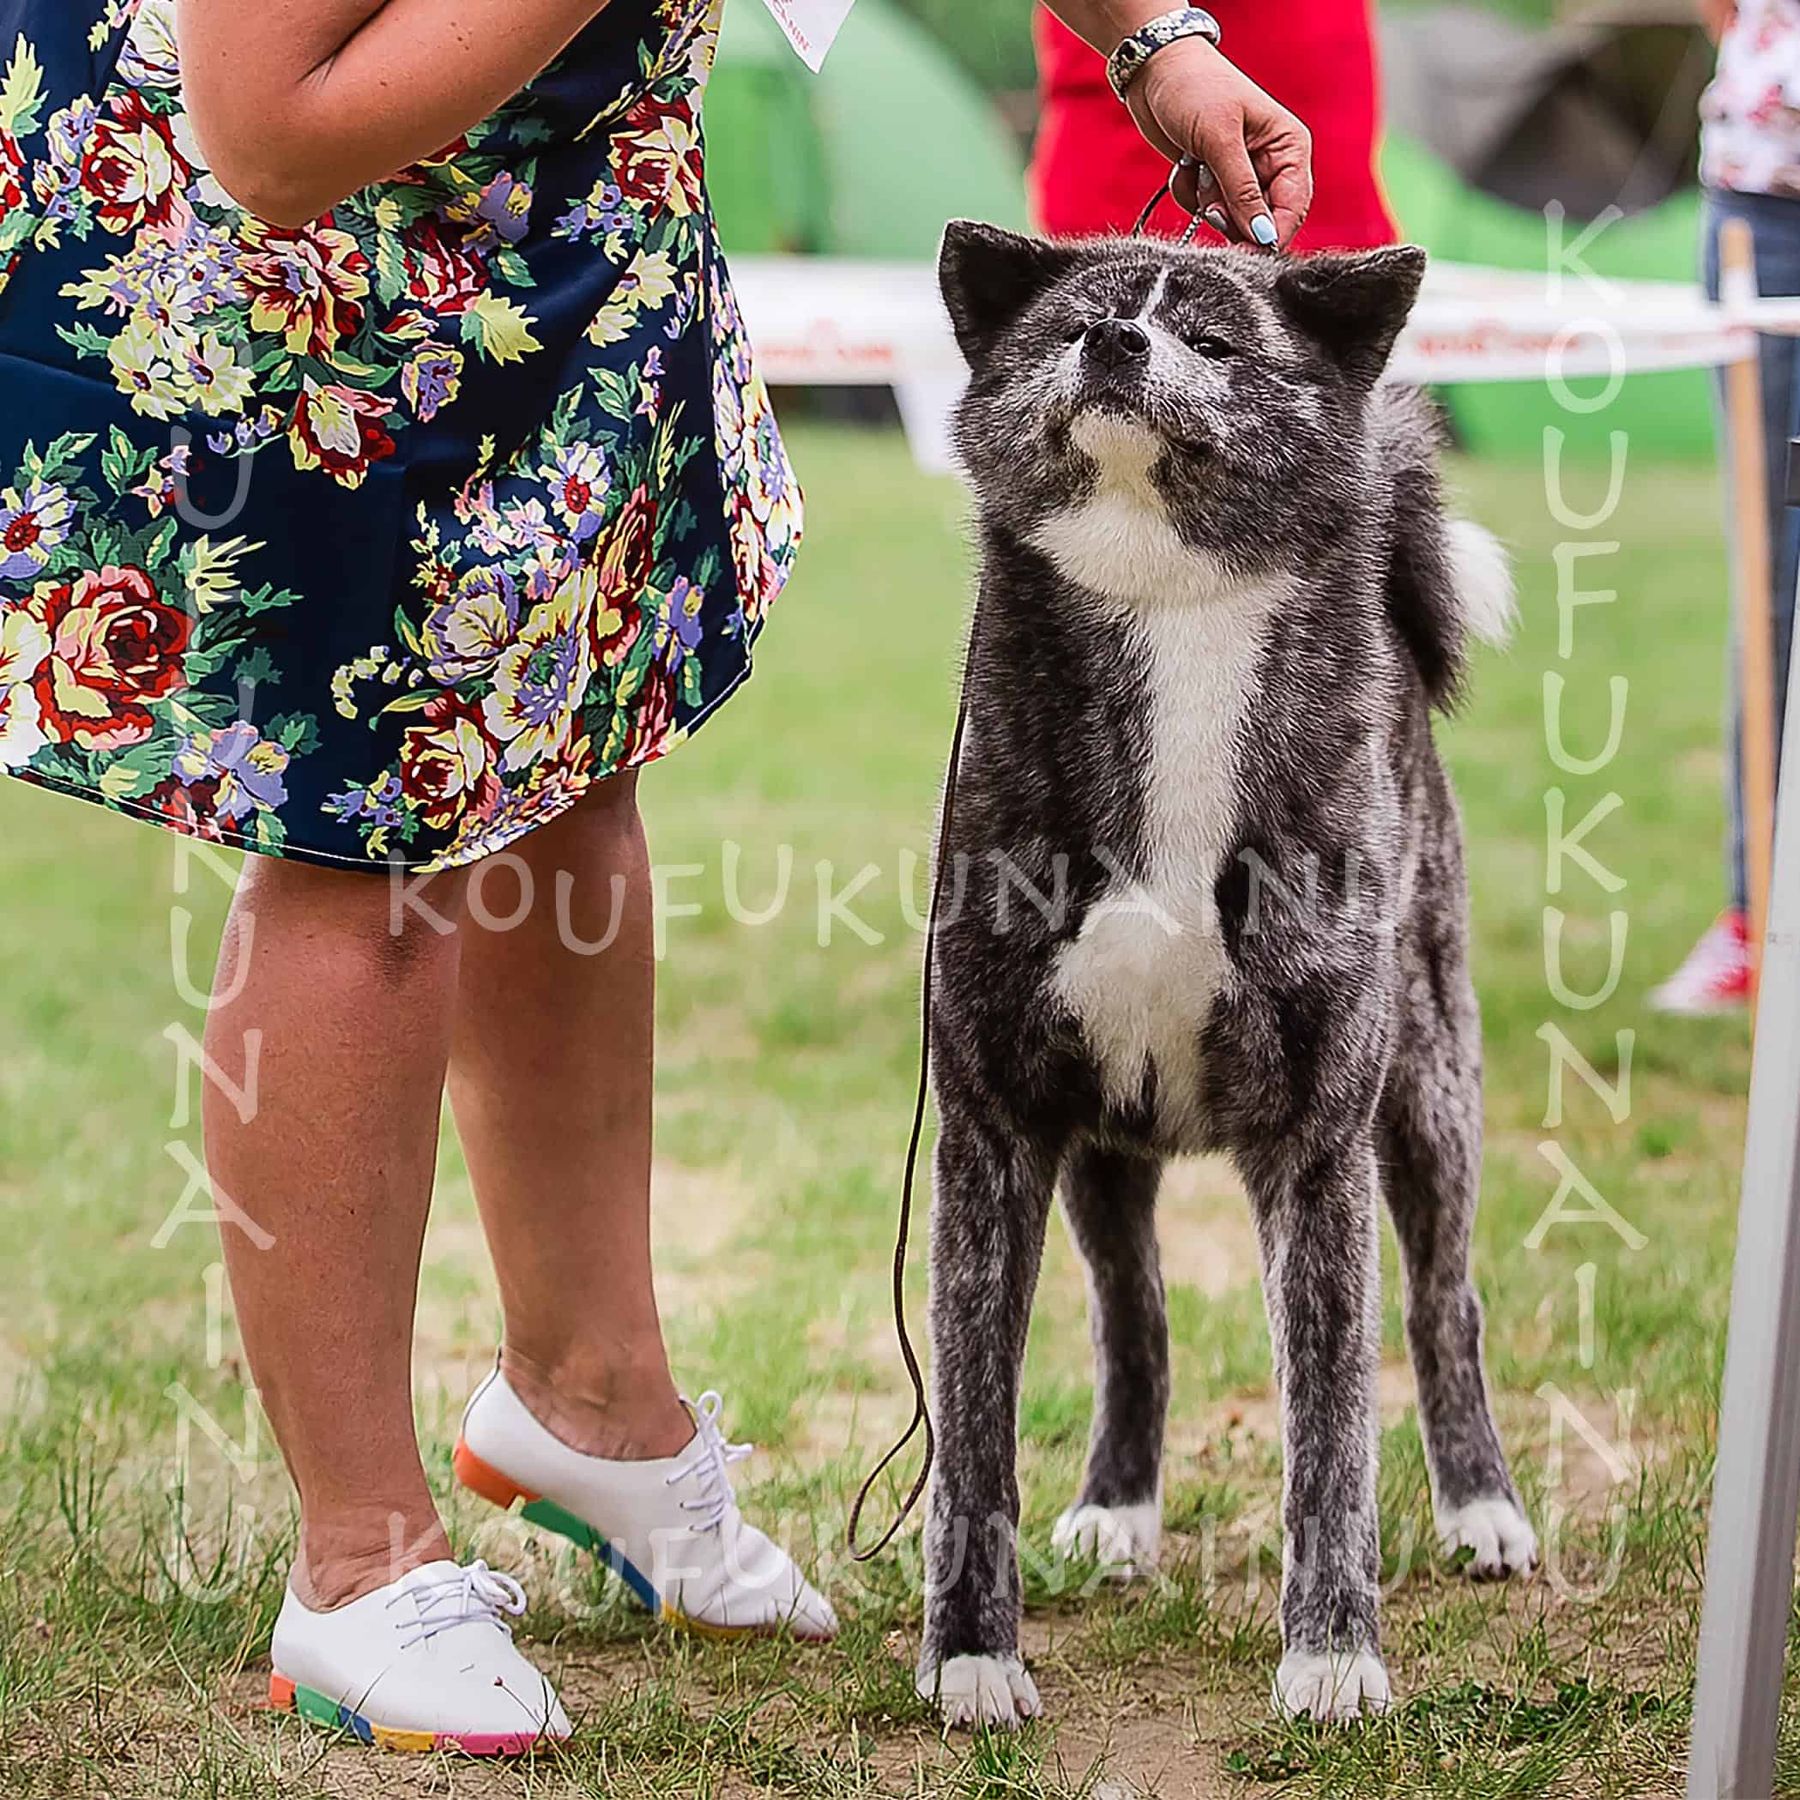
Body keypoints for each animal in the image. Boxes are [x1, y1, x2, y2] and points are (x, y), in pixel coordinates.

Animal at [914, 225, 1533, 1728]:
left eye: (1211, 339)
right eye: (1072, 322)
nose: (1114, 345)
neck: (1170, 612)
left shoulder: (1318, 1148)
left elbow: (1332, 1433)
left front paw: (1332, 1655)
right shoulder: (996, 1130)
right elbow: (974, 1426)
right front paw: (972, 1654)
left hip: (1429, 1097)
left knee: (1443, 1304)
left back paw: (1483, 1507)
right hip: (1103, 1156)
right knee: (1134, 1323)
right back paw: (1117, 1509)